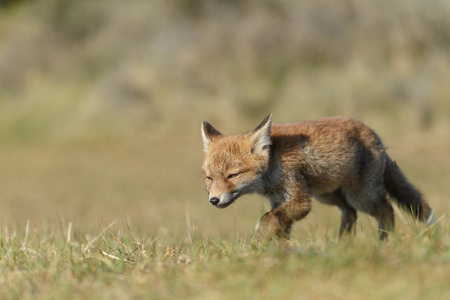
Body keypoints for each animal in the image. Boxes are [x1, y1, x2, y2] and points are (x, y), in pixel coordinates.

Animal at [200, 113, 436, 241]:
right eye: (209, 178)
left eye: (232, 175)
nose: (214, 200)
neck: (273, 164)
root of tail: (374, 134)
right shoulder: (280, 200)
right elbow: (280, 226)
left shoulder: (300, 199)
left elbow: (268, 219)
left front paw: (257, 243)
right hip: (329, 196)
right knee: (350, 214)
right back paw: (343, 245)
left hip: (361, 196)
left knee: (386, 210)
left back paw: (382, 242)